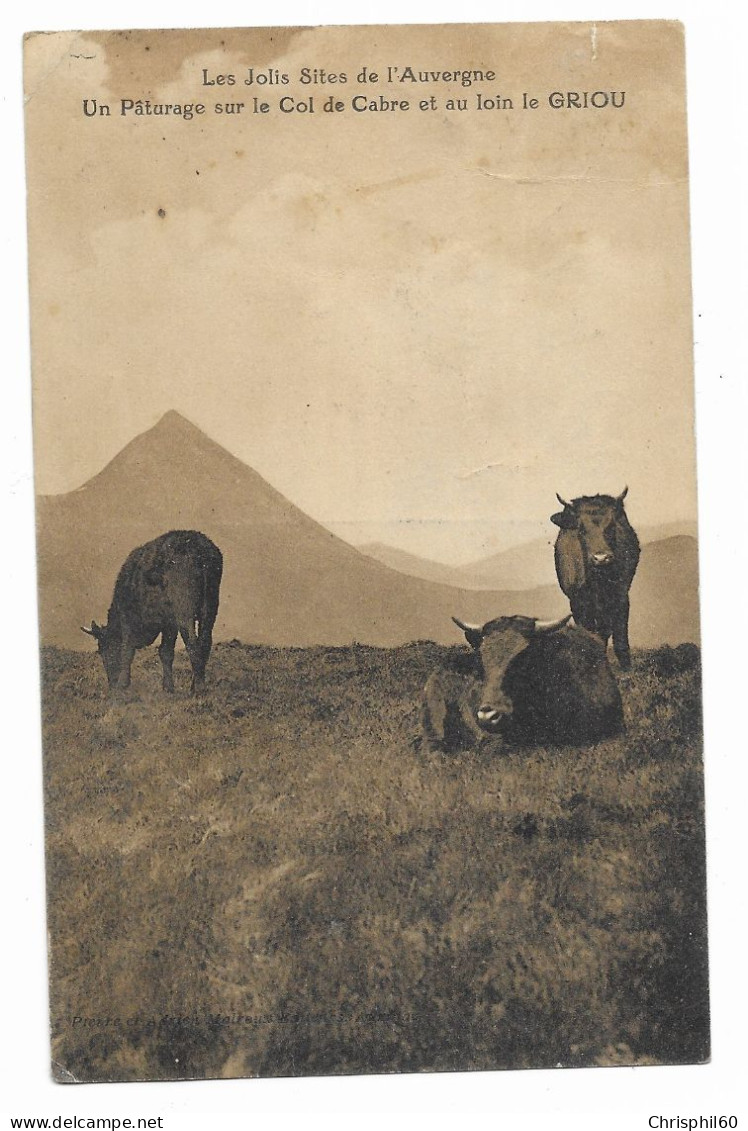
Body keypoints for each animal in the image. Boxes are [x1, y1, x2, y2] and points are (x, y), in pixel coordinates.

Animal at [82, 531, 221, 696]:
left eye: (103, 650)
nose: (111, 684)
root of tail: (199, 547)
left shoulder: (128, 617)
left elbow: (127, 650)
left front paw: (122, 684)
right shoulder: (169, 623)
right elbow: (166, 652)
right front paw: (168, 687)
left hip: (184, 609)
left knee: (193, 643)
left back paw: (199, 688)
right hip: (210, 606)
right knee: (205, 642)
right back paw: (195, 684)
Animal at [545, 490, 638, 665]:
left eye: (611, 526)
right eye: (581, 529)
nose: (601, 558)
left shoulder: (621, 597)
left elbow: (620, 641)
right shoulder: (578, 602)